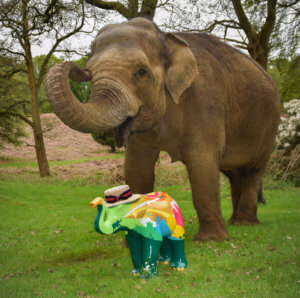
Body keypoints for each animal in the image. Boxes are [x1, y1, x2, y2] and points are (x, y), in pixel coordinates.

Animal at [44, 17, 282, 241]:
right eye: (91, 72)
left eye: (141, 72)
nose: (79, 69)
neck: (167, 39)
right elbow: (137, 167)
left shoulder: (205, 100)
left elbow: (201, 160)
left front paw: (211, 240)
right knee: (233, 172)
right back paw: (235, 222)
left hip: (270, 125)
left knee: (253, 170)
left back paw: (244, 223)